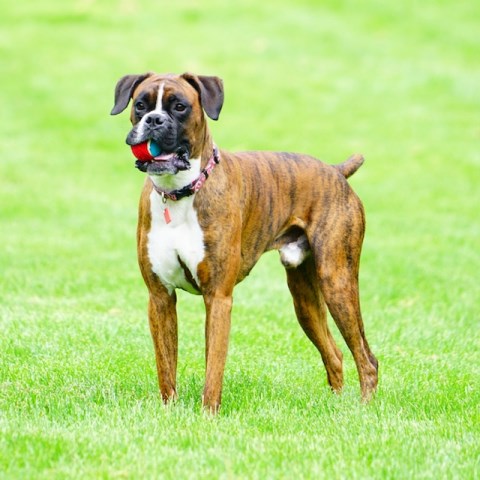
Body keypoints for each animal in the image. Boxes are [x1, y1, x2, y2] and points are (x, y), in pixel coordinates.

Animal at [111, 72, 378, 412]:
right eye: (141, 105)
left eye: (180, 107)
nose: (154, 120)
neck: (179, 193)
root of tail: (335, 171)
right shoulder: (160, 298)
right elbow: (166, 366)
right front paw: (169, 412)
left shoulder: (218, 298)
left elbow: (213, 367)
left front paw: (208, 414)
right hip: (304, 298)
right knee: (335, 352)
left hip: (337, 282)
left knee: (366, 357)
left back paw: (364, 409)